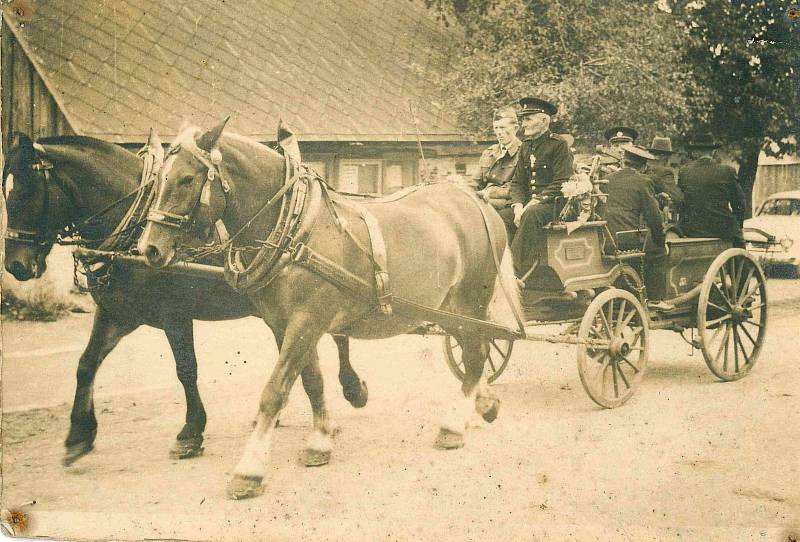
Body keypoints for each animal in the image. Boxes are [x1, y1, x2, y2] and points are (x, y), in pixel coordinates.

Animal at [0, 132, 366, 468]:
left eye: (27, 192)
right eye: (6, 191)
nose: (15, 265)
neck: (133, 227)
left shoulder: (174, 315)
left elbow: (186, 369)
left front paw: (191, 432)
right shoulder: (117, 313)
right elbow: (86, 364)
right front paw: (79, 433)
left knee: (337, 337)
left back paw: (352, 389)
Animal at [139, 120, 524, 502]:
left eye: (187, 179)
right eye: (158, 179)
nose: (150, 248)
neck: (297, 231)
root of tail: (476, 201)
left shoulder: (307, 321)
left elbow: (274, 391)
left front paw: (249, 471)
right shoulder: (284, 325)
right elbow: (311, 381)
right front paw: (320, 440)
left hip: (470, 298)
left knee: (475, 354)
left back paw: (453, 427)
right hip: (445, 307)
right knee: (478, 347)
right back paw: (485, 403)